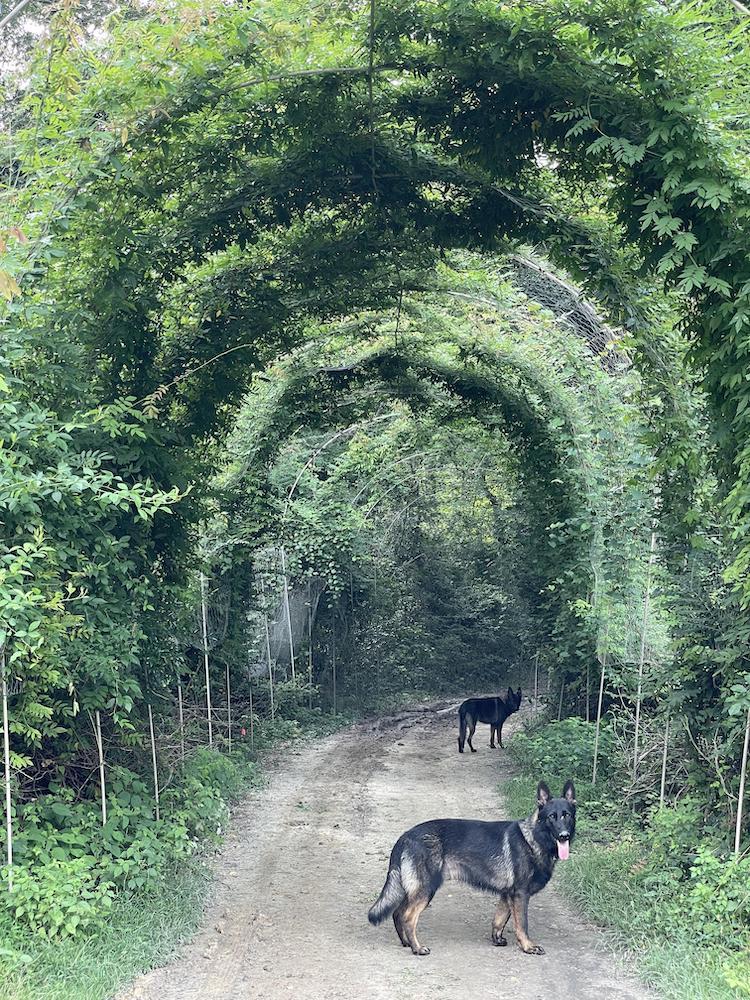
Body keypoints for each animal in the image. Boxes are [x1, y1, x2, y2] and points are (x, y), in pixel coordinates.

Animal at [368, 776, 576, 956]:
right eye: (551, 817)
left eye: (567, 816)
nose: (564, 836)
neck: (533, 838)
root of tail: (405, 836)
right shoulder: (520, 894)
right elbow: (522, 924)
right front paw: (528, 946)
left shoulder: (507, 894)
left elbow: (499, 919)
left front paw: (496, 939)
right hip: (426, 889)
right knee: (408, 917)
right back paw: (417, 948)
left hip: (412, 889)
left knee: (397, 913)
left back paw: (406, 943)